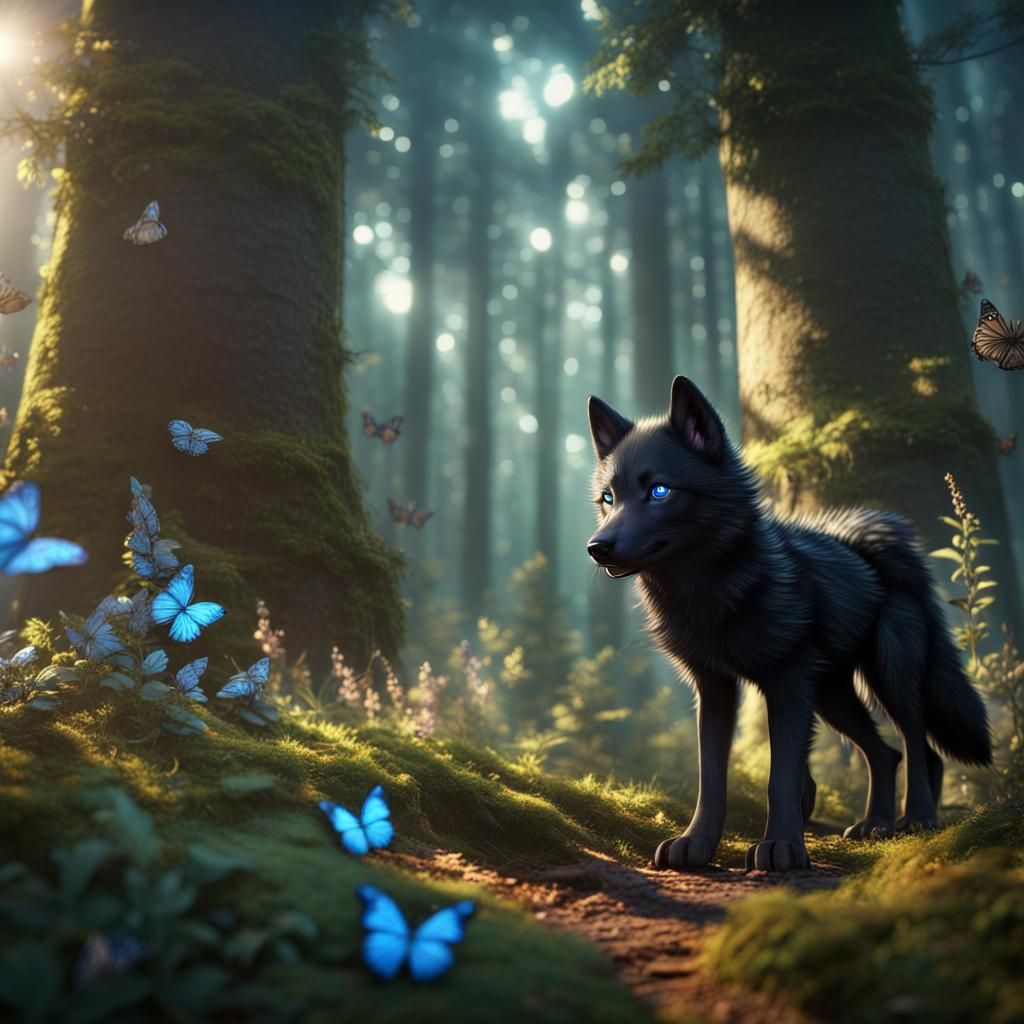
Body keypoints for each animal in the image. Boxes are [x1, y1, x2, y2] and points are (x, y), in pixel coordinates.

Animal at [586, 376, 992, 872]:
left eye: (659, 491)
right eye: (609, 498)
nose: (596, 547)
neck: (710, 593)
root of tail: (882, 546)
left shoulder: (788, 684)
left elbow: (780, 775)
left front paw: (782, 846)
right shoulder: (715, 688)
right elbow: (711, 777)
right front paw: (696, 844)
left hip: (887, 679)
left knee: (919, 744)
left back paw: (918, 818)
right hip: (833, 697)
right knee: (886, 753)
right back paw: (876, 825)